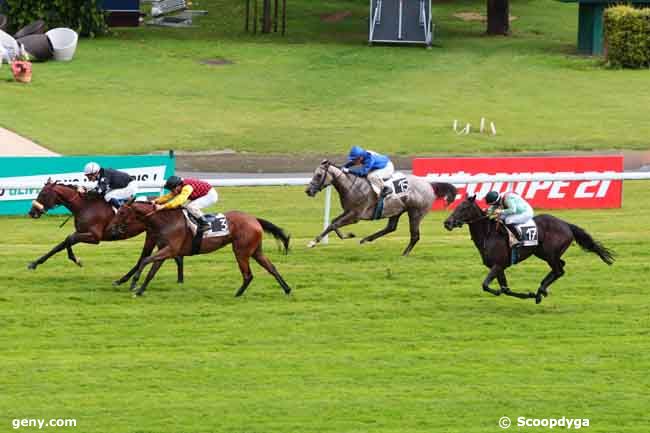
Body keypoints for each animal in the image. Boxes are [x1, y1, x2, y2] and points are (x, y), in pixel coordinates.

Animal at [25, 181, 182, 286]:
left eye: (43, 193)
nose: (32, 212)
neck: (85, 206)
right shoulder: (81, 232)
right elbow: (60, 245)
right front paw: (34, 263)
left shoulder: (95, 237)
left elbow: (69, 239)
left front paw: (77, 260)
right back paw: (179, 278)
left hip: (152, 235)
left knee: (145, 257)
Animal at [108, 200, 292, 296]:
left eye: (122, 212)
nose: (111, 229)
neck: (165, 221)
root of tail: (254, 219)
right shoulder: (165, 251)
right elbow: (152, 270)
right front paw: (140, 290)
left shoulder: (170, 250)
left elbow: (145, 260)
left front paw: (133, 283)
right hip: (255, 251)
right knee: (271, 267)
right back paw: (287, 289)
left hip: (241, 251)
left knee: (248, 275)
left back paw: (238, 293)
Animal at [304, 159, 456, 255]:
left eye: (318, 175)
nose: (308, 191)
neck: (352, 186)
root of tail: (429, 185)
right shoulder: (348, 211)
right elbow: (333, 222)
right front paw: (347, 235)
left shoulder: (355, 215)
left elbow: (334, 225)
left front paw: (314, 242)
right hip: (397, 210)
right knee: (391, 227)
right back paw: (366, 239)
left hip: (415, 213)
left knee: (415, 236)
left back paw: (404, 254)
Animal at [440, 196, 612, 304]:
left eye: (463, 208)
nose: (447, 223)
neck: (488, 234)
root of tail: (566, 224)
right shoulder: (499, 267)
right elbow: (506, 289)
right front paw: (525, 294)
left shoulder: (498, 265)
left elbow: (486, 285)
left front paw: (506, 292)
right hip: (541, 252)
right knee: (560, 266)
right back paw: (540, 291)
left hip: (549, 253)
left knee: (559, 270)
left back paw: (541, 290)